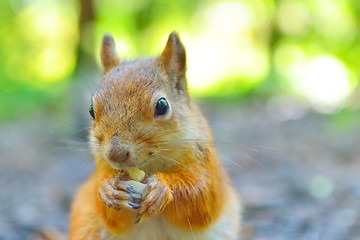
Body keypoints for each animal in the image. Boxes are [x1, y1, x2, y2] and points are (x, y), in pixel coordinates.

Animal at [69, 32, 240, 240]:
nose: (116, 154)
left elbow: (203, 197)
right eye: (91, 110)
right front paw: (109, 190)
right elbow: (110, 216)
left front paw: (163, 189)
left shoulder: (206, 163)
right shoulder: (101, 167)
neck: (150, 166)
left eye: (162, 106)